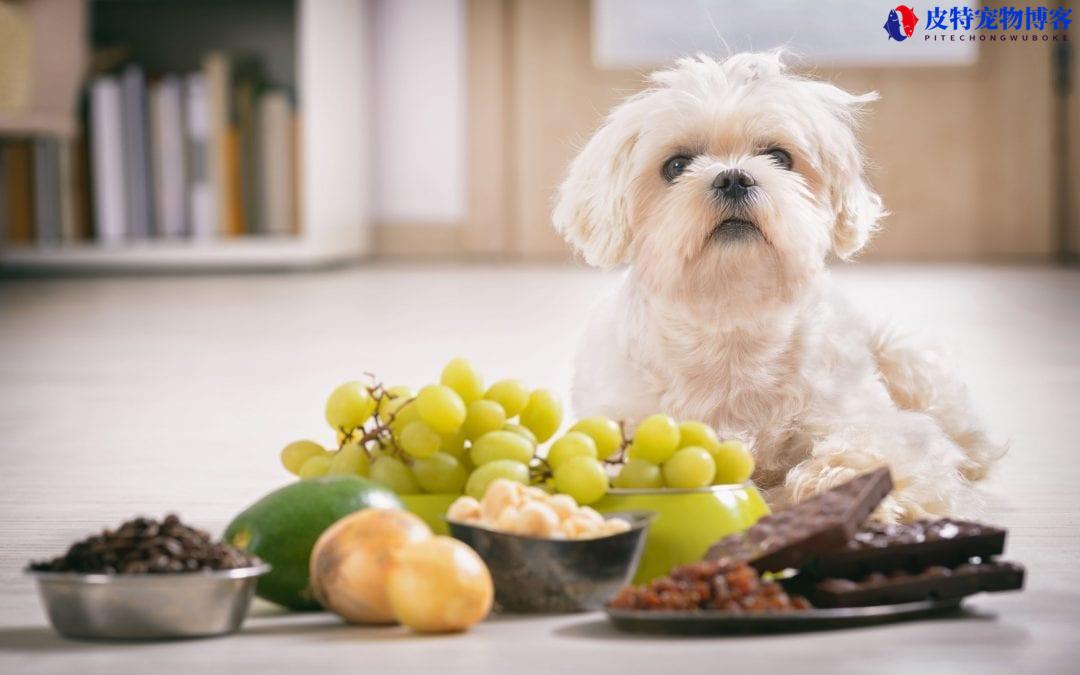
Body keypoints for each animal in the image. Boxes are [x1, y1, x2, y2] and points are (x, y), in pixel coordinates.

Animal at [557, 52, 1002, 520]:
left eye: (779, 157)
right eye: (676, 165)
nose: (733, 177)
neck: (732, 320)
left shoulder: (877, 423)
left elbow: (876, 449)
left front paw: (841, 486)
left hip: (904, 358)